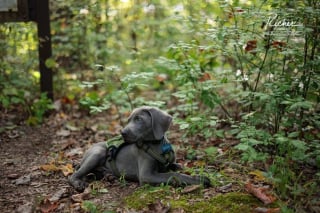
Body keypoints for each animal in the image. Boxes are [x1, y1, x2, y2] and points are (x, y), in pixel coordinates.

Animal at [68, 106, 210, 191]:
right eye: (129, 120)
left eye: (138, 119)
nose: (122, 132)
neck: (156, 144)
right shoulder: (146, 176)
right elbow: (173, 174)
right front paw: (199, 179)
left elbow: (177, 167)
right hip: (97, 153)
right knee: (74, 175)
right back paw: (78, 183)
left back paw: (108, 175)